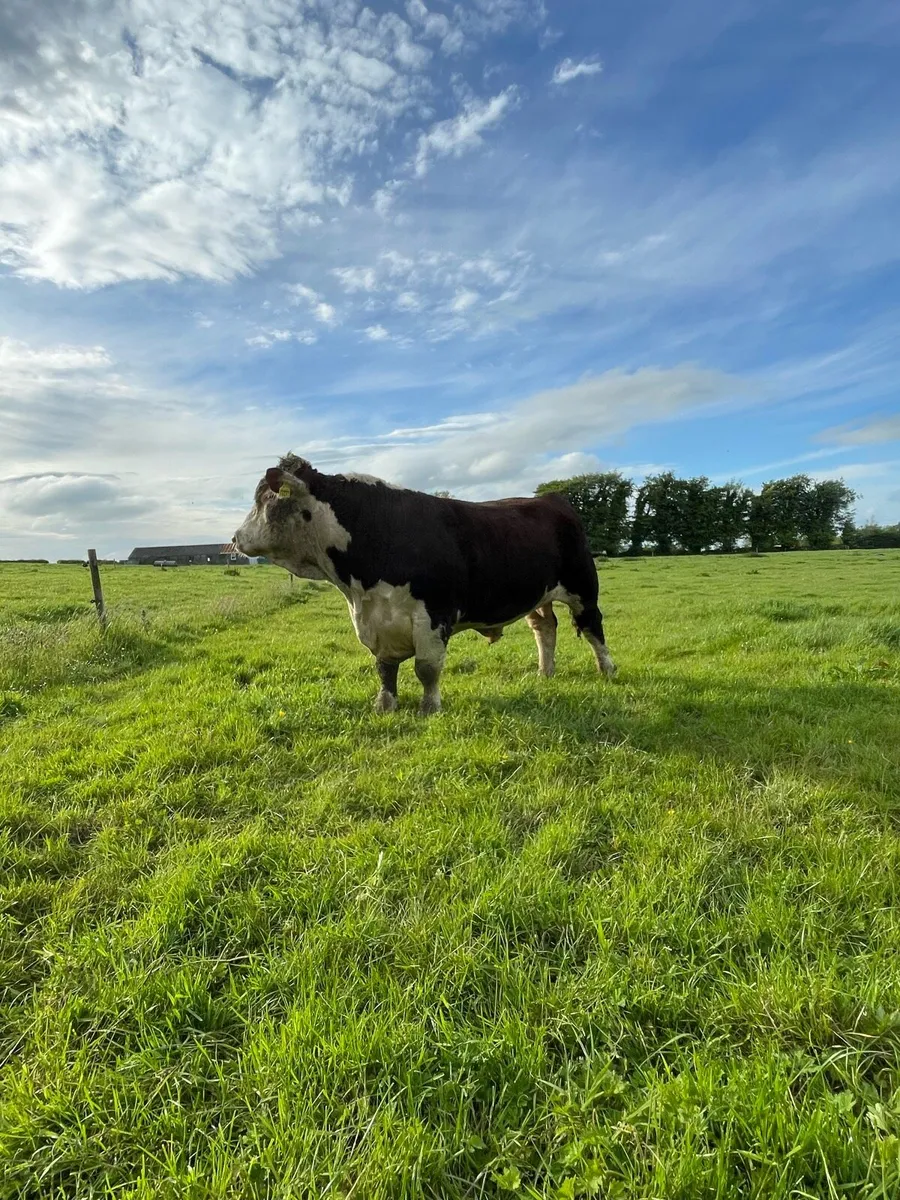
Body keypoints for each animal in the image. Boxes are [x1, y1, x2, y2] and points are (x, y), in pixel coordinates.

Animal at [232, 454, 616, 715]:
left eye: (265, 499)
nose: (235, 537)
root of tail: (550, 498)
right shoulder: (376, 622)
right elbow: (385, 668)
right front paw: (385, 705)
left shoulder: (433, 615)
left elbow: (426, 668)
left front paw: (429, 708)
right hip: (538, 594)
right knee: (544, 628)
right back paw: (544, 673)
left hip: (583, 588)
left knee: (592, 627)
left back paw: (607, 670)